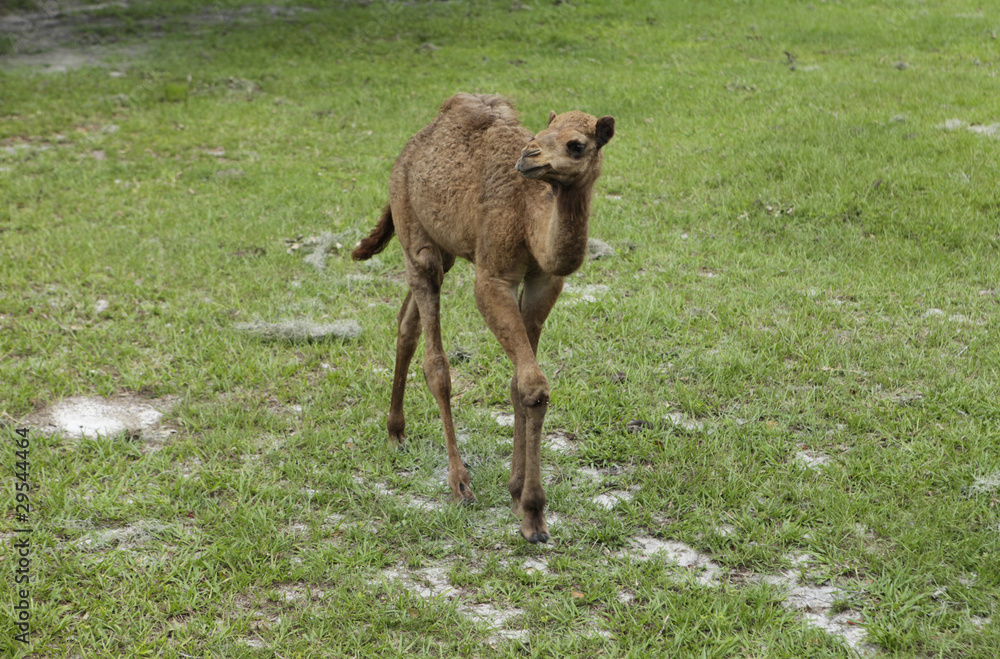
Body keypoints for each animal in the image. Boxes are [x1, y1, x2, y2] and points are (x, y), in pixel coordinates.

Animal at [352, 93, 614, 543]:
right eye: (539, 133)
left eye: (577, 144)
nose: (528, 157)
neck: (530, 217)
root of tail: (409, 148)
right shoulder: (493, 277)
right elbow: (534, 385)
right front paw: (533, 514)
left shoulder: (545, 281)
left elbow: (520, 385)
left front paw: (517, 492)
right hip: (415, 234)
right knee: (435, 360)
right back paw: (459, 484)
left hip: (444, 245)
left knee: (407, 323)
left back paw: (396, 432)